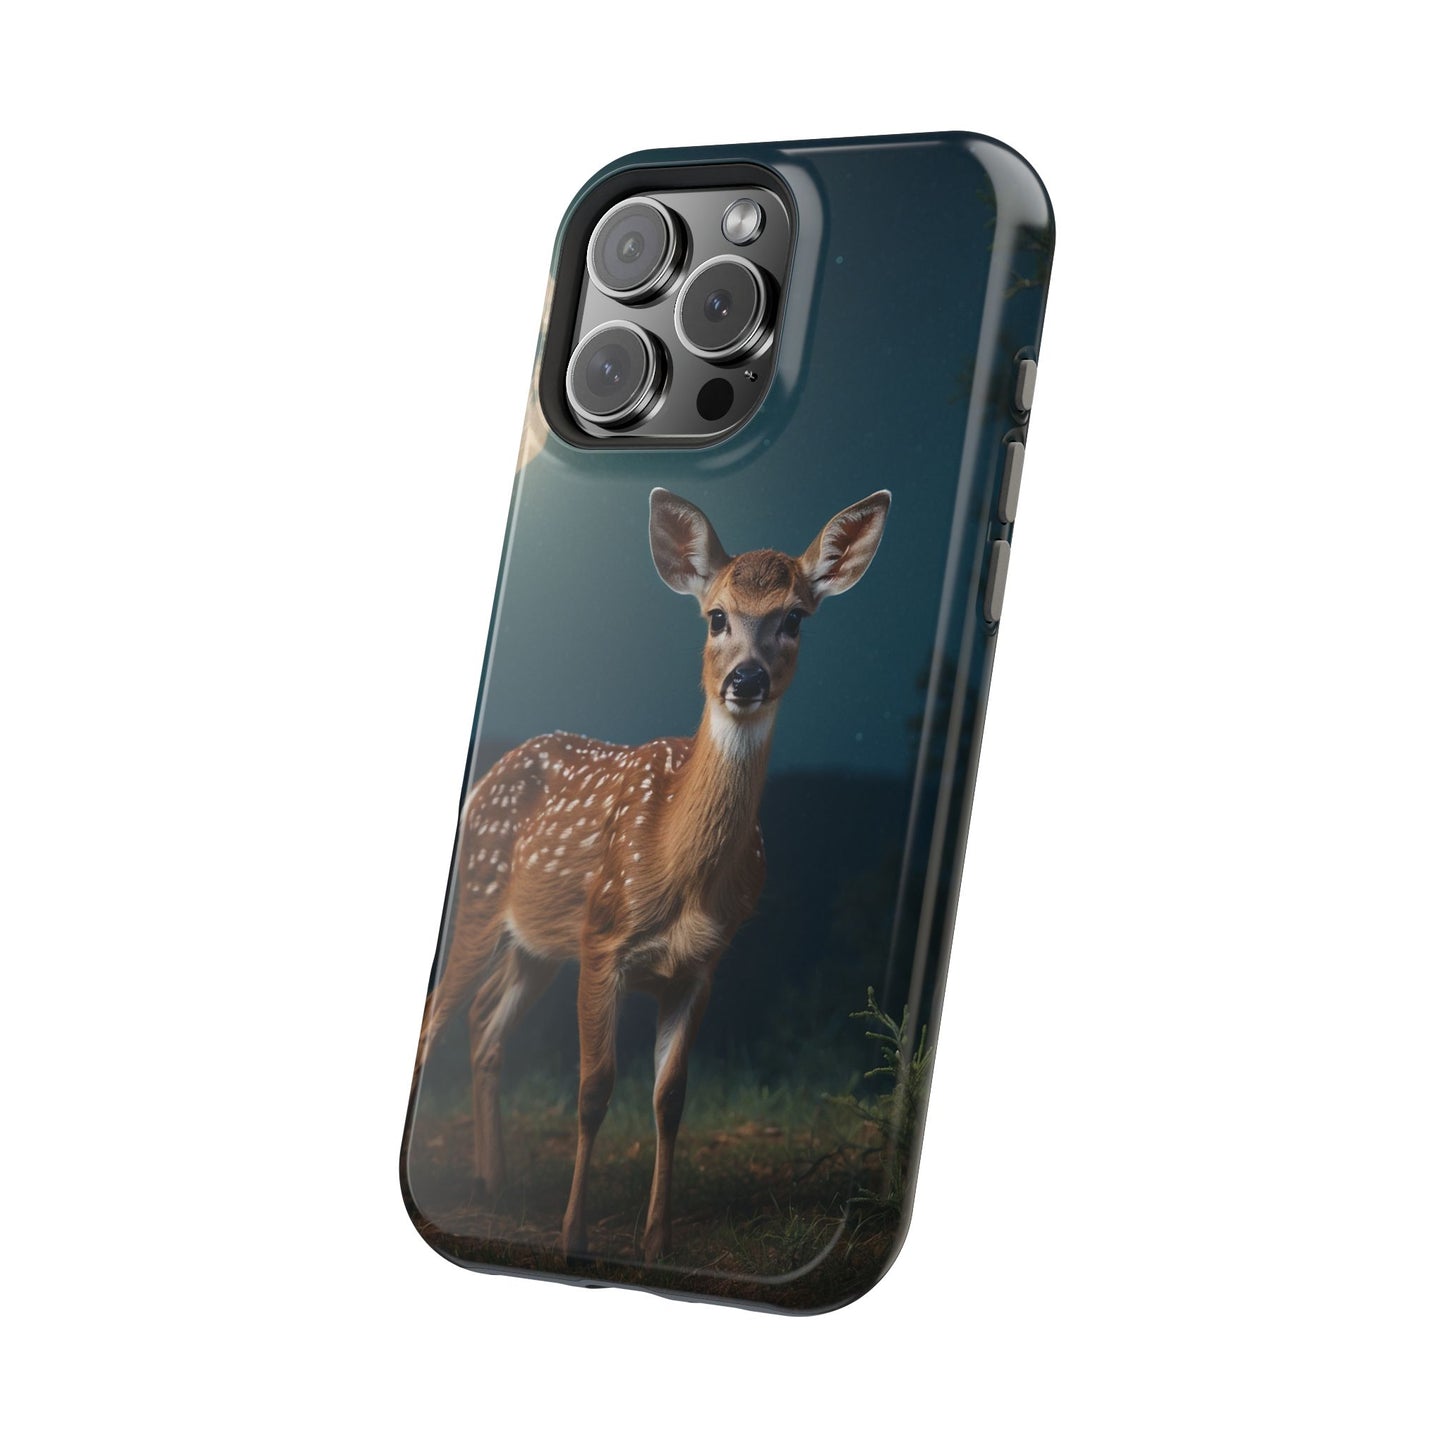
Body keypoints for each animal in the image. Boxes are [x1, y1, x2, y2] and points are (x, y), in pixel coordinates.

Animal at [410, 486, 890, 1263]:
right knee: (437, 1018)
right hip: (480, 902)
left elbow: (669, 1098)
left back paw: (492, 1184)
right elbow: (593, 1089)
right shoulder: (602, 942)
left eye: (794, 617)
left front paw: (657, 1242)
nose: (745, 679)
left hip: (538, 944)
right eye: (716, 615)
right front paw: (574, 1236)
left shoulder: (699, 966)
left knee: (484, 1022)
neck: (677, 870)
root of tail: (488, 777)